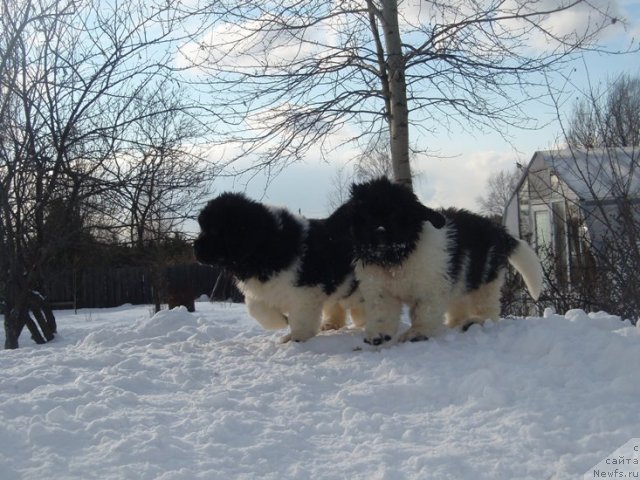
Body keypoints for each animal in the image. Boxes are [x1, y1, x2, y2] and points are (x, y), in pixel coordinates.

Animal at [194, 191, 364, 342]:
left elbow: (301, 317)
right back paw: (331, 324)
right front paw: (281, 322)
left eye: (214, 230)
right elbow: (255, 308)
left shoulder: (306, 290)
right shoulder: (262, 289)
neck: (265, 246)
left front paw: (297, 338)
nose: (194, 248)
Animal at [348, 176, 544, 344]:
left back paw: (476, 321)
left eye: (395, 214)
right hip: (461, 280)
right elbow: (381, 311)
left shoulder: (431, 288)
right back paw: (456, 323)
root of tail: (499, 231)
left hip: (484, 278)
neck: (396, 258)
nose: (379, 232)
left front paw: (417, 333)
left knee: (487, 308)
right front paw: (378, 334)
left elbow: (423, 312)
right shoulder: (379, 288)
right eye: (365, 216)